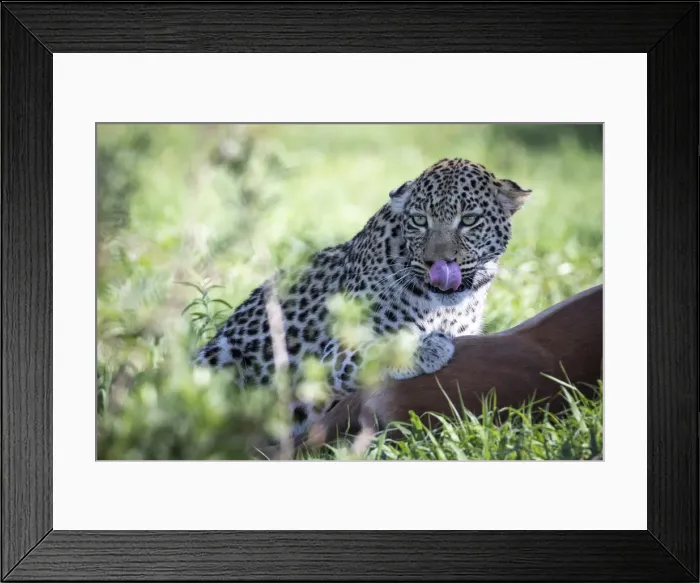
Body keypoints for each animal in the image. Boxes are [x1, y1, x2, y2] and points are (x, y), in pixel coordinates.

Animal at [194, 157, 531, 439]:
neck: (445, 307)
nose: (438, 262)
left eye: (470, 220)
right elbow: (378, 348)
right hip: (221, 354)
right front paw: (425, 347)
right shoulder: (333, 353)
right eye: (420, 220)